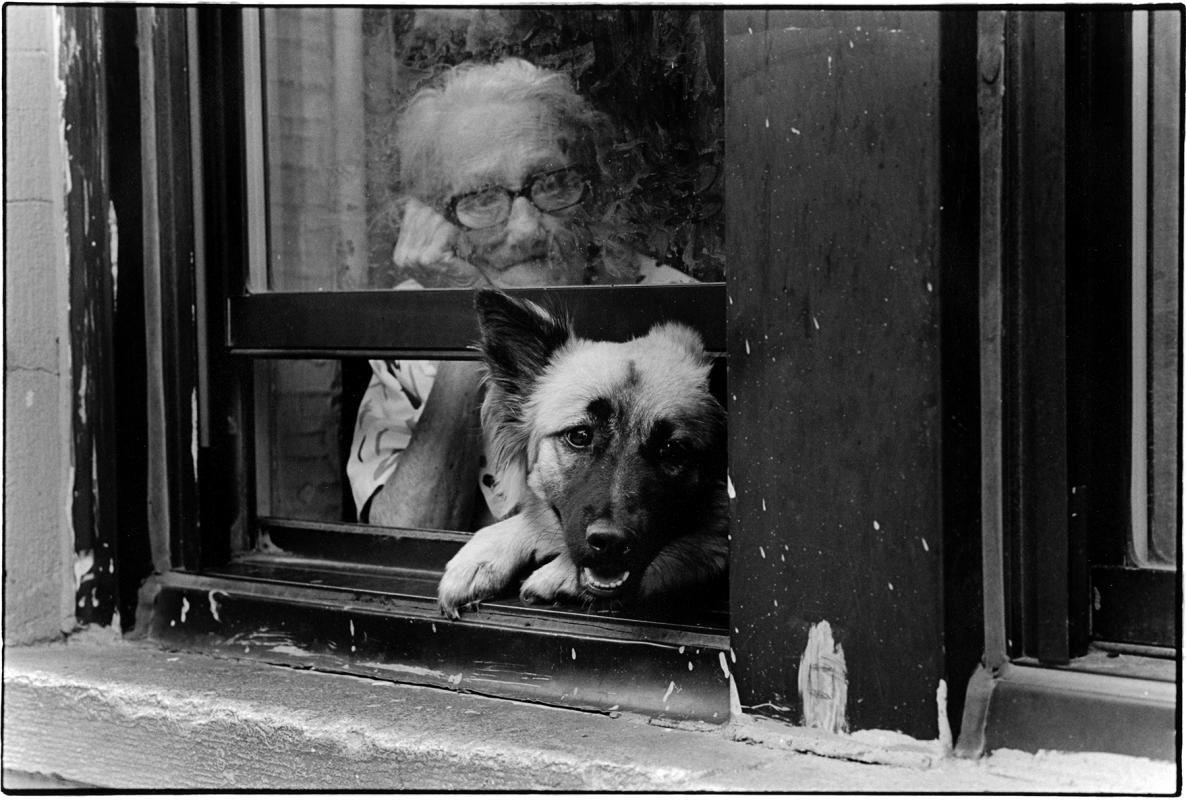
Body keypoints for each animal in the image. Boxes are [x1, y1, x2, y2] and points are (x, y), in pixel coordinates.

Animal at [438, 289, 725, 621]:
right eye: (579, 436)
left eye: (672, 450)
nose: (611, 543)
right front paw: (485, 554)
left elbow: (703, 545)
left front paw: (559, 573)